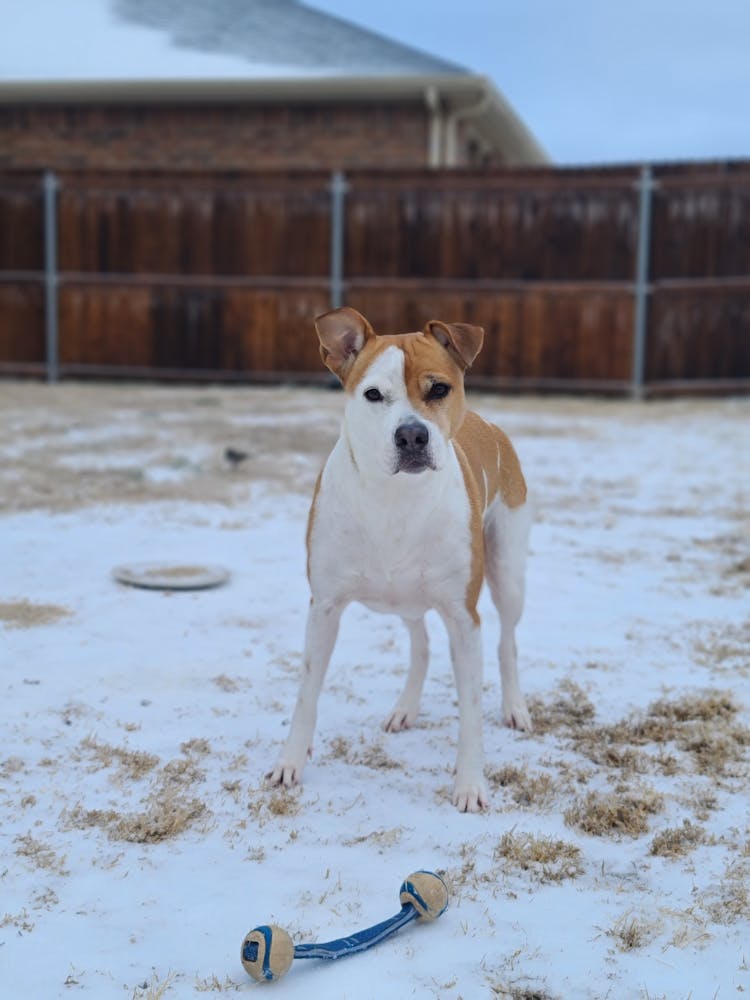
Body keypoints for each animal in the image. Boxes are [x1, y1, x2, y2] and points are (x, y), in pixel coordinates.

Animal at [268, 306, 532, 812]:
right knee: (421, 643)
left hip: (508, 569)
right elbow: (307, 693)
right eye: (374, 394)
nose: (412, 435)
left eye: (439, 389)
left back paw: (515, 708)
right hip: (405, 597)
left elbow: (471, 710)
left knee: (508, 641)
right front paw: (290, 762)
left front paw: (470, 785)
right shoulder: (324, 606)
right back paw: (406, 709)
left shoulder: (463, 617)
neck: (394, 499)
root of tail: (486, 423)